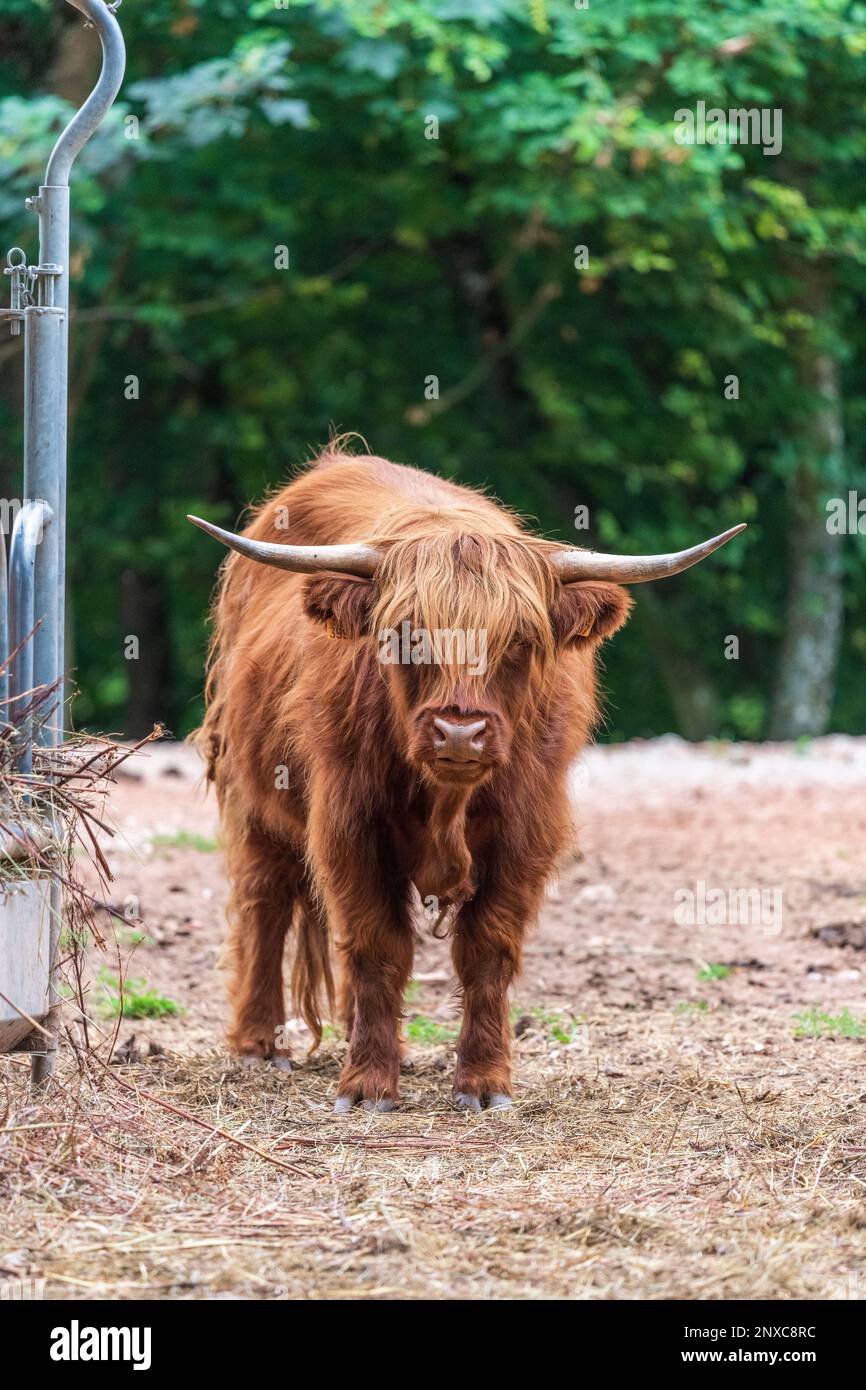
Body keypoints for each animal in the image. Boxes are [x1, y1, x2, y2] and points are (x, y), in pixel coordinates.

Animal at [190, 445, 744, 1112]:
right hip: (251, 795)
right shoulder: (349, 826)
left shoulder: (526, 832)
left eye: (521, 640)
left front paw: (484, 1081)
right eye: (406, 634)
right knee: (264, 903)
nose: (459, 732)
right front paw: (368, 1083)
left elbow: (486, 950)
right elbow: (377, 946)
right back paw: (257, 1045)